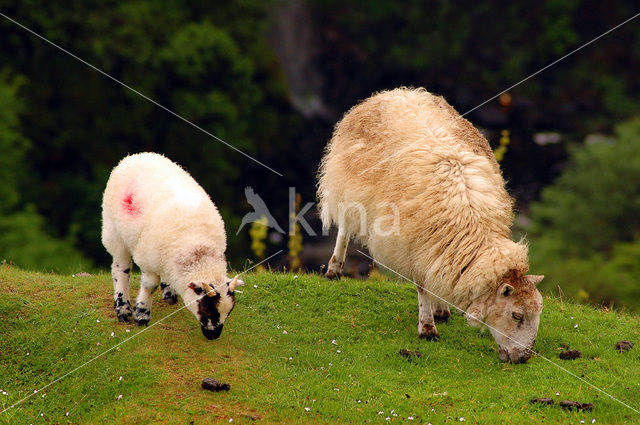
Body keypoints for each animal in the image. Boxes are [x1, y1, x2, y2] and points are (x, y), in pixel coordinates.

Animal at [101, 152, 244, 338]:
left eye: (229, 311)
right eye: (207, 309)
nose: (213, 336)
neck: (196, 244)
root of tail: (134, 156)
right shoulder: (148, 259)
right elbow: (149, 286)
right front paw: (142, 315)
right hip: (113, 230)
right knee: (120, 269)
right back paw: (123, 308)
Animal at [318, 86, 544, 362]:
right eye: (517, 315)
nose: (523, 359)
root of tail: (395, 92)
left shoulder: (438, 249)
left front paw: (441, 311)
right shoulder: (414, 246)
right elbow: (422, 286)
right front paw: (427, 328)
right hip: (348, 185)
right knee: (344, 227)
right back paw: (334, 268)